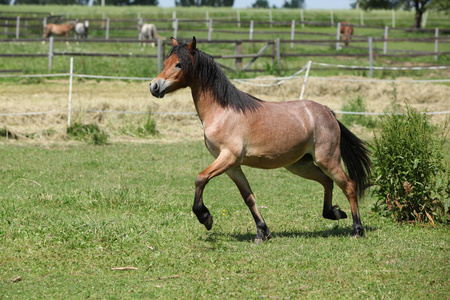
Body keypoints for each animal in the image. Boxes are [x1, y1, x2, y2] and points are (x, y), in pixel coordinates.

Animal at [149, 36, 370, 243]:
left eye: (179, 64)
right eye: (166, 62)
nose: (154, 86)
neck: (222, 112)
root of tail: (327, 112)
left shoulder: (228, 157)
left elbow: (200, 178)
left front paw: (205, 217)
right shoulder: (232, 166)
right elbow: (248, 197)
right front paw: (262, 232)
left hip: (327, 160)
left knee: (348, 186)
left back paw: (357, 230)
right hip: (300, 165)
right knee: (327, 181)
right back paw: (334, 213)